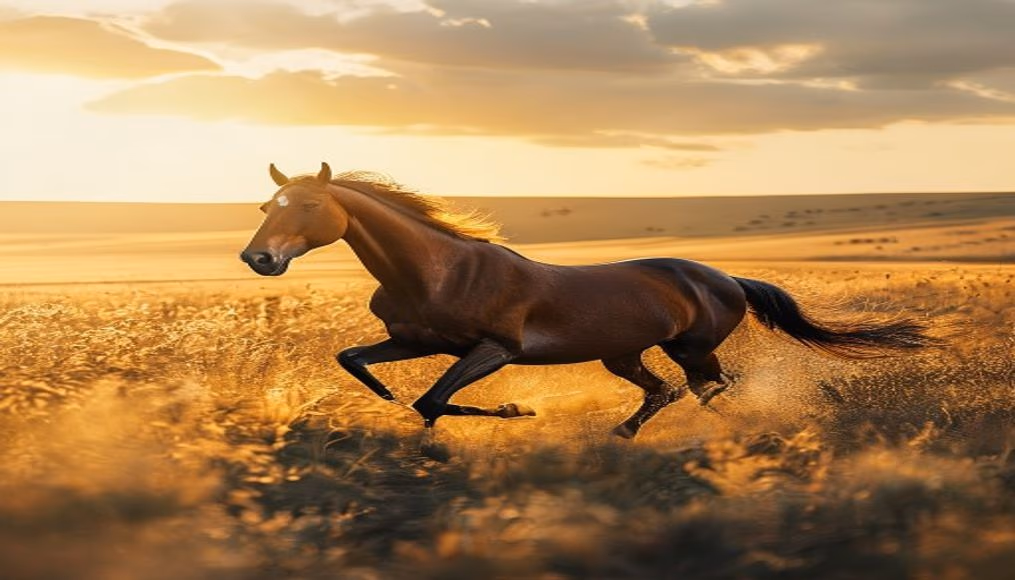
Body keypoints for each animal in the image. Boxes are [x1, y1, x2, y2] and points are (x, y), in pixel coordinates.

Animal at [241, 163, 936, 455]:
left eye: (308, 207)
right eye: (266, 206)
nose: (260, 259)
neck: (436, 271)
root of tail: (726, 277)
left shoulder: (494, 349)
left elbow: (433, 400)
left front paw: (515, 411)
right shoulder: (418, 341)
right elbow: (357, 361)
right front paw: (389, 402)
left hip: (691, 347)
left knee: (709, 386)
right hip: (622, 355)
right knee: (669, 391)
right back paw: (624, 433)